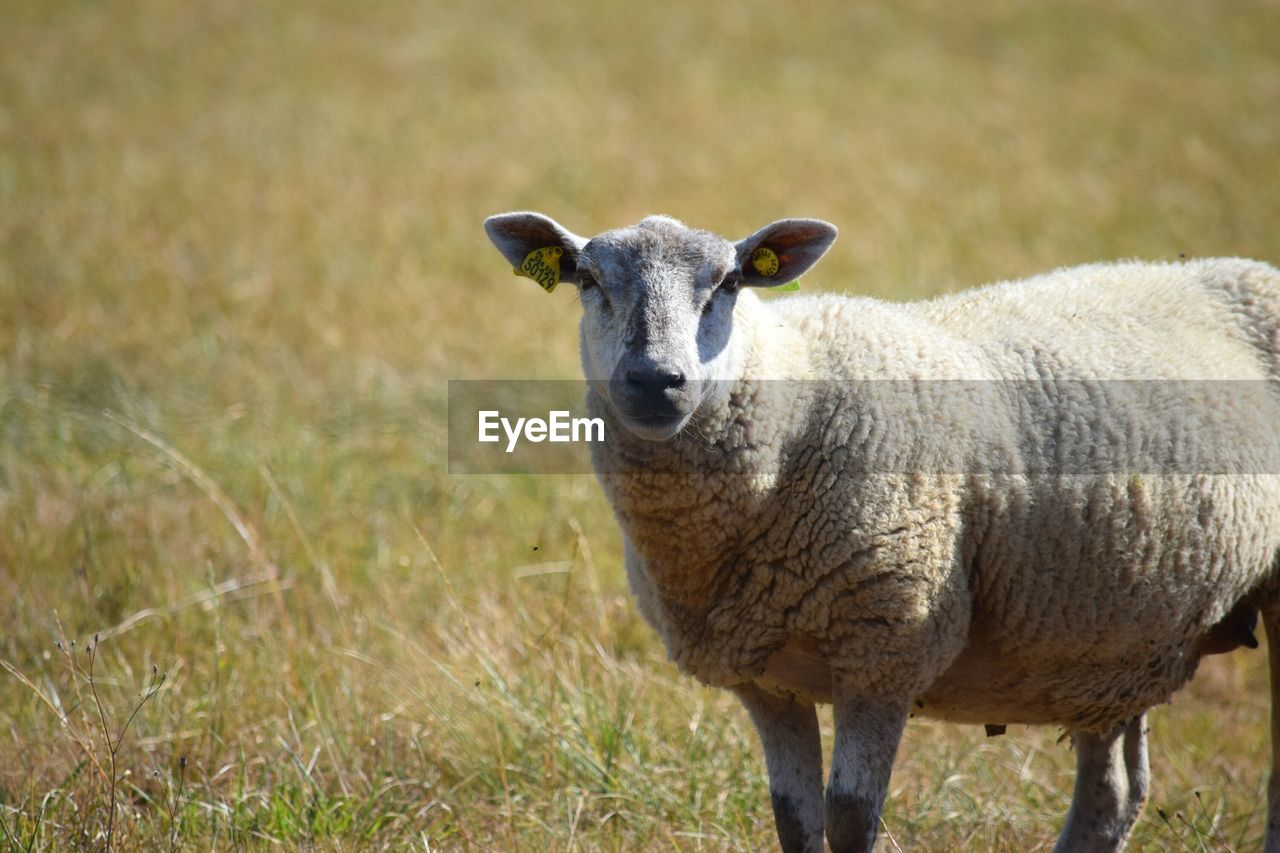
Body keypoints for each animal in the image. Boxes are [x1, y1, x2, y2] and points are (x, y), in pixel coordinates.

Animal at [483, 207, 1280, 850]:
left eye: (730, 283)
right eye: (588, 279)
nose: (655, 380)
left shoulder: (885, 647)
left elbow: (848, 820)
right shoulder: (765, 676)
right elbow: (794, 822)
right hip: (1110, 639)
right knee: (1112, 797)